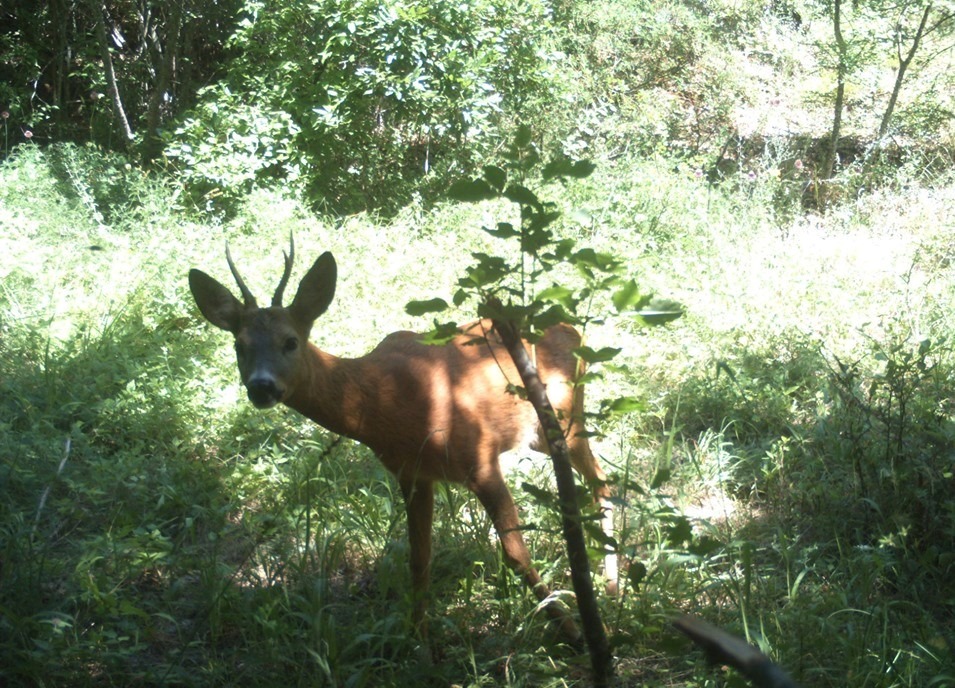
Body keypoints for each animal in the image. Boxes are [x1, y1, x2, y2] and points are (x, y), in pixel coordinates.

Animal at [190, 239, 616, 644]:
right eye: (239, 345)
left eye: (290, 341)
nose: (261, 386)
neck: (383, 403)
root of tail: (573, 327)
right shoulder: (412, 474)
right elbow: (419, 557)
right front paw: (418, 640)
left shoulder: (480, 457)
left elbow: (515, 554)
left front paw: (573, 630)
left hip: (564, 416)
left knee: (601, 480)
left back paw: (610, 589)